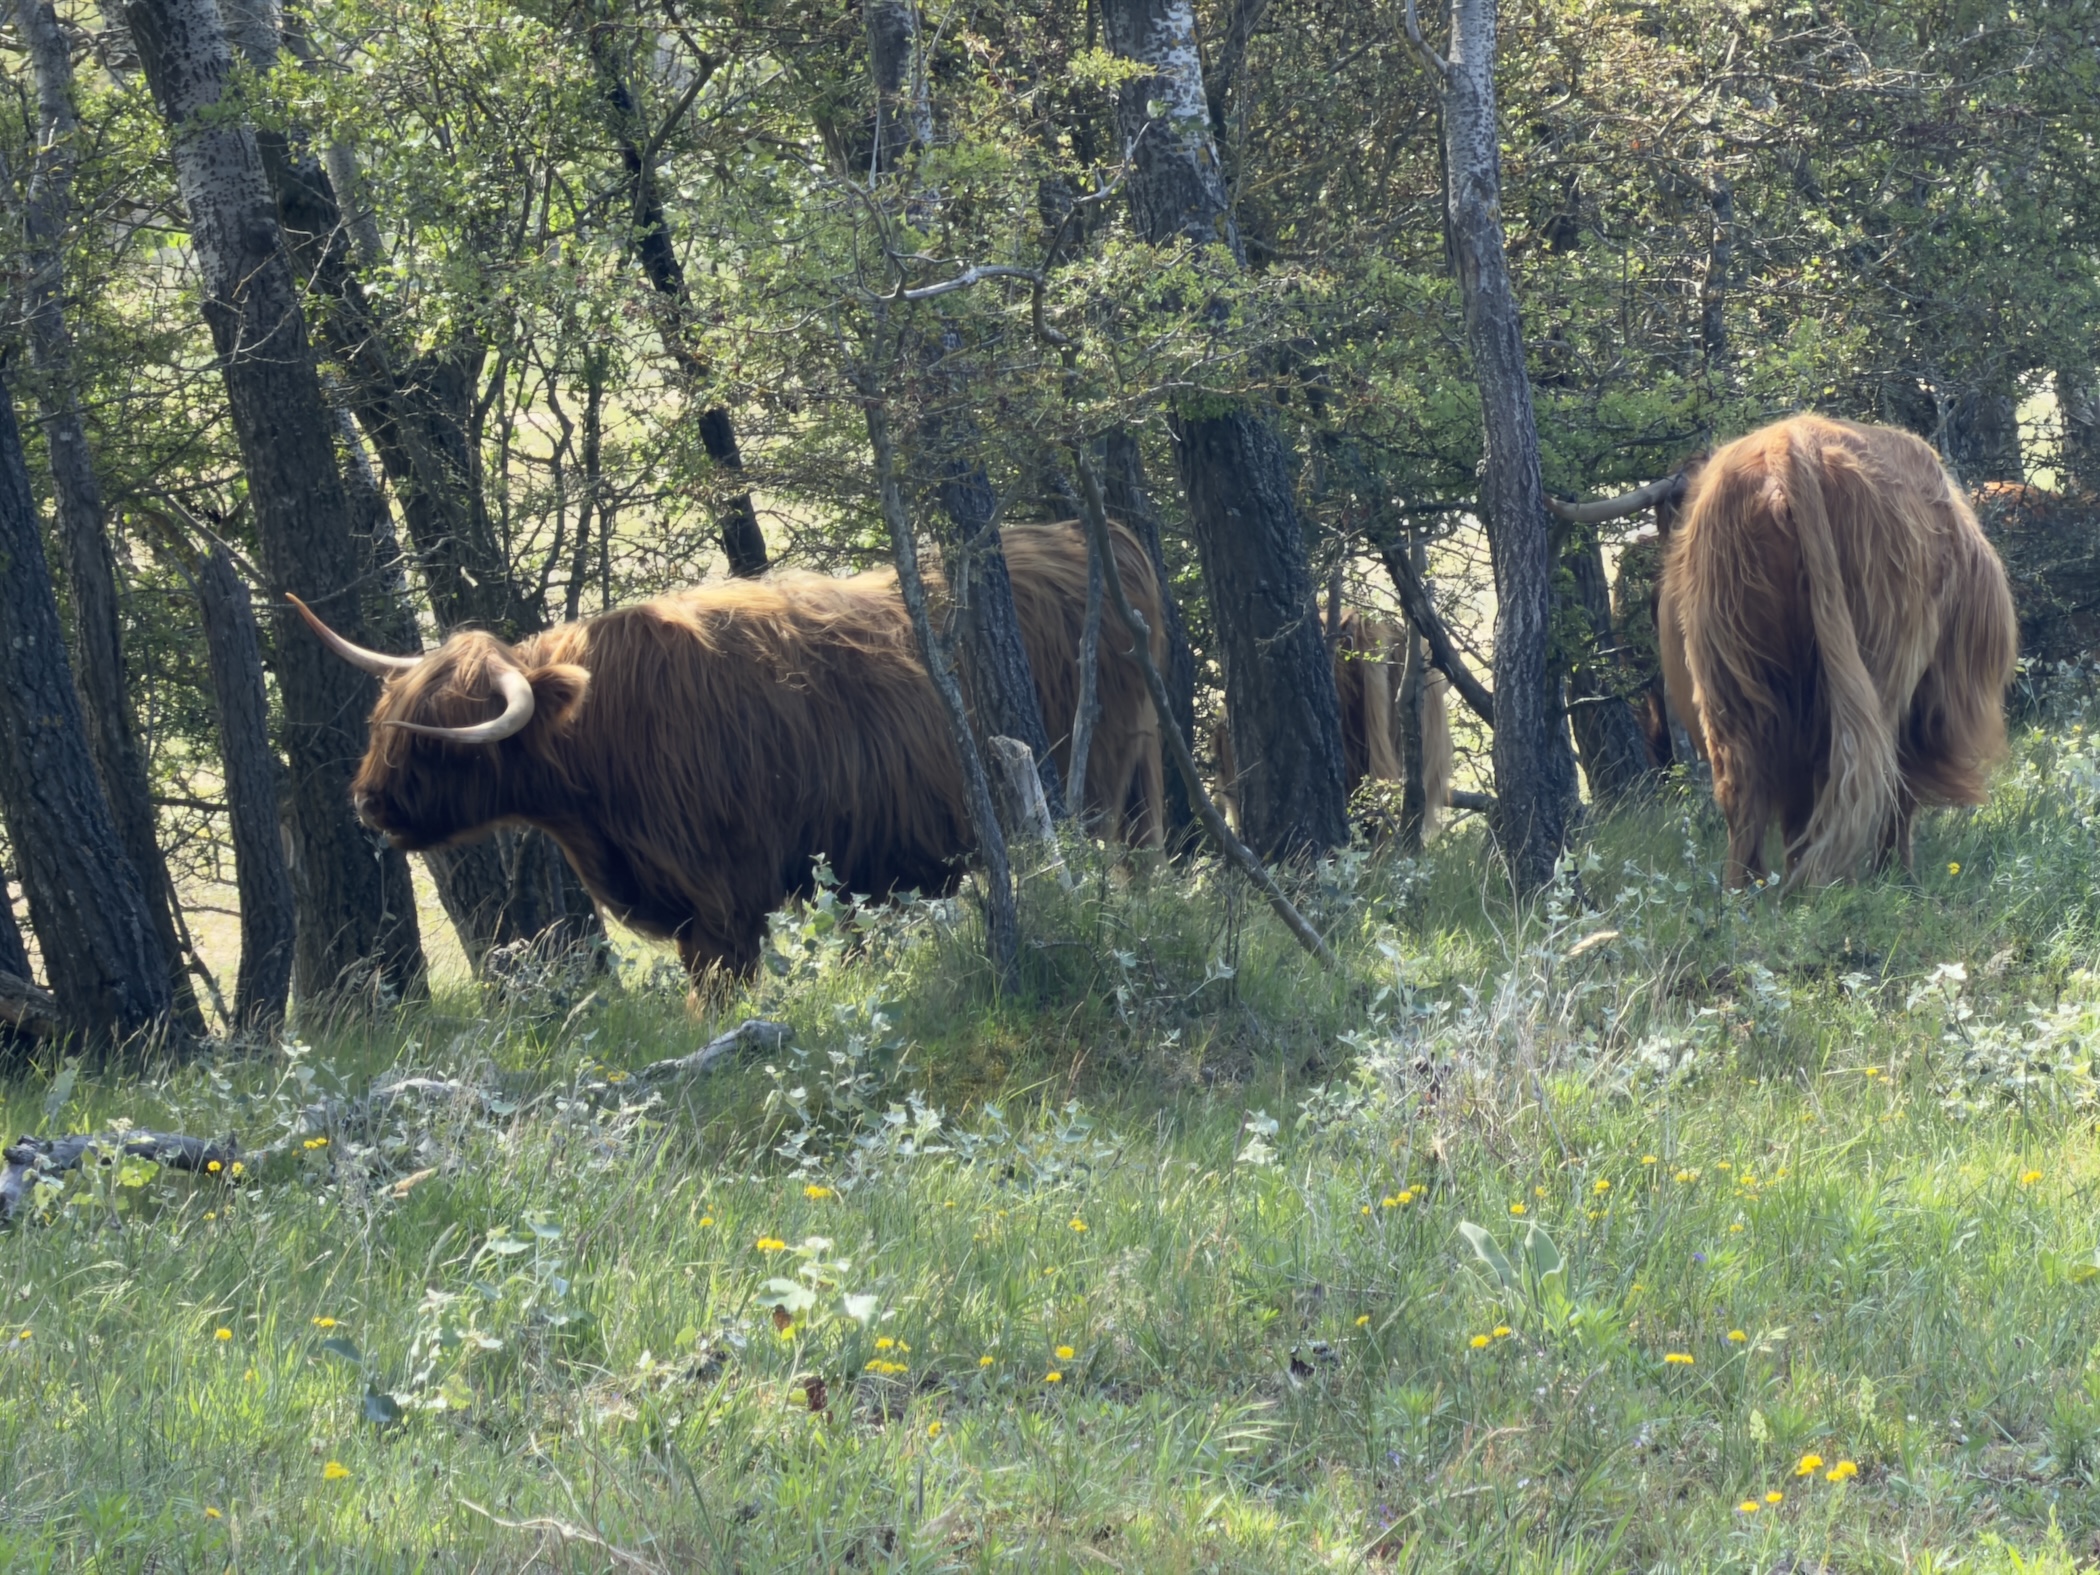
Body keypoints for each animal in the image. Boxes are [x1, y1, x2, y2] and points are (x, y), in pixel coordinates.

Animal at [294, 523, 1166, 981]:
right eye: (385, 720)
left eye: (442, 744)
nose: (366, 802)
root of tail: (1090, 539)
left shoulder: (724, 898)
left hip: (1099, 792)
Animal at [1652, 416, 2016, 889]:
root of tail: (1789, 445)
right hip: (1881, 658)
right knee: (1870, 774)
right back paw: (1872, 879)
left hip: (1732, 674)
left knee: (1746, 790)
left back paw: (1748, 892)